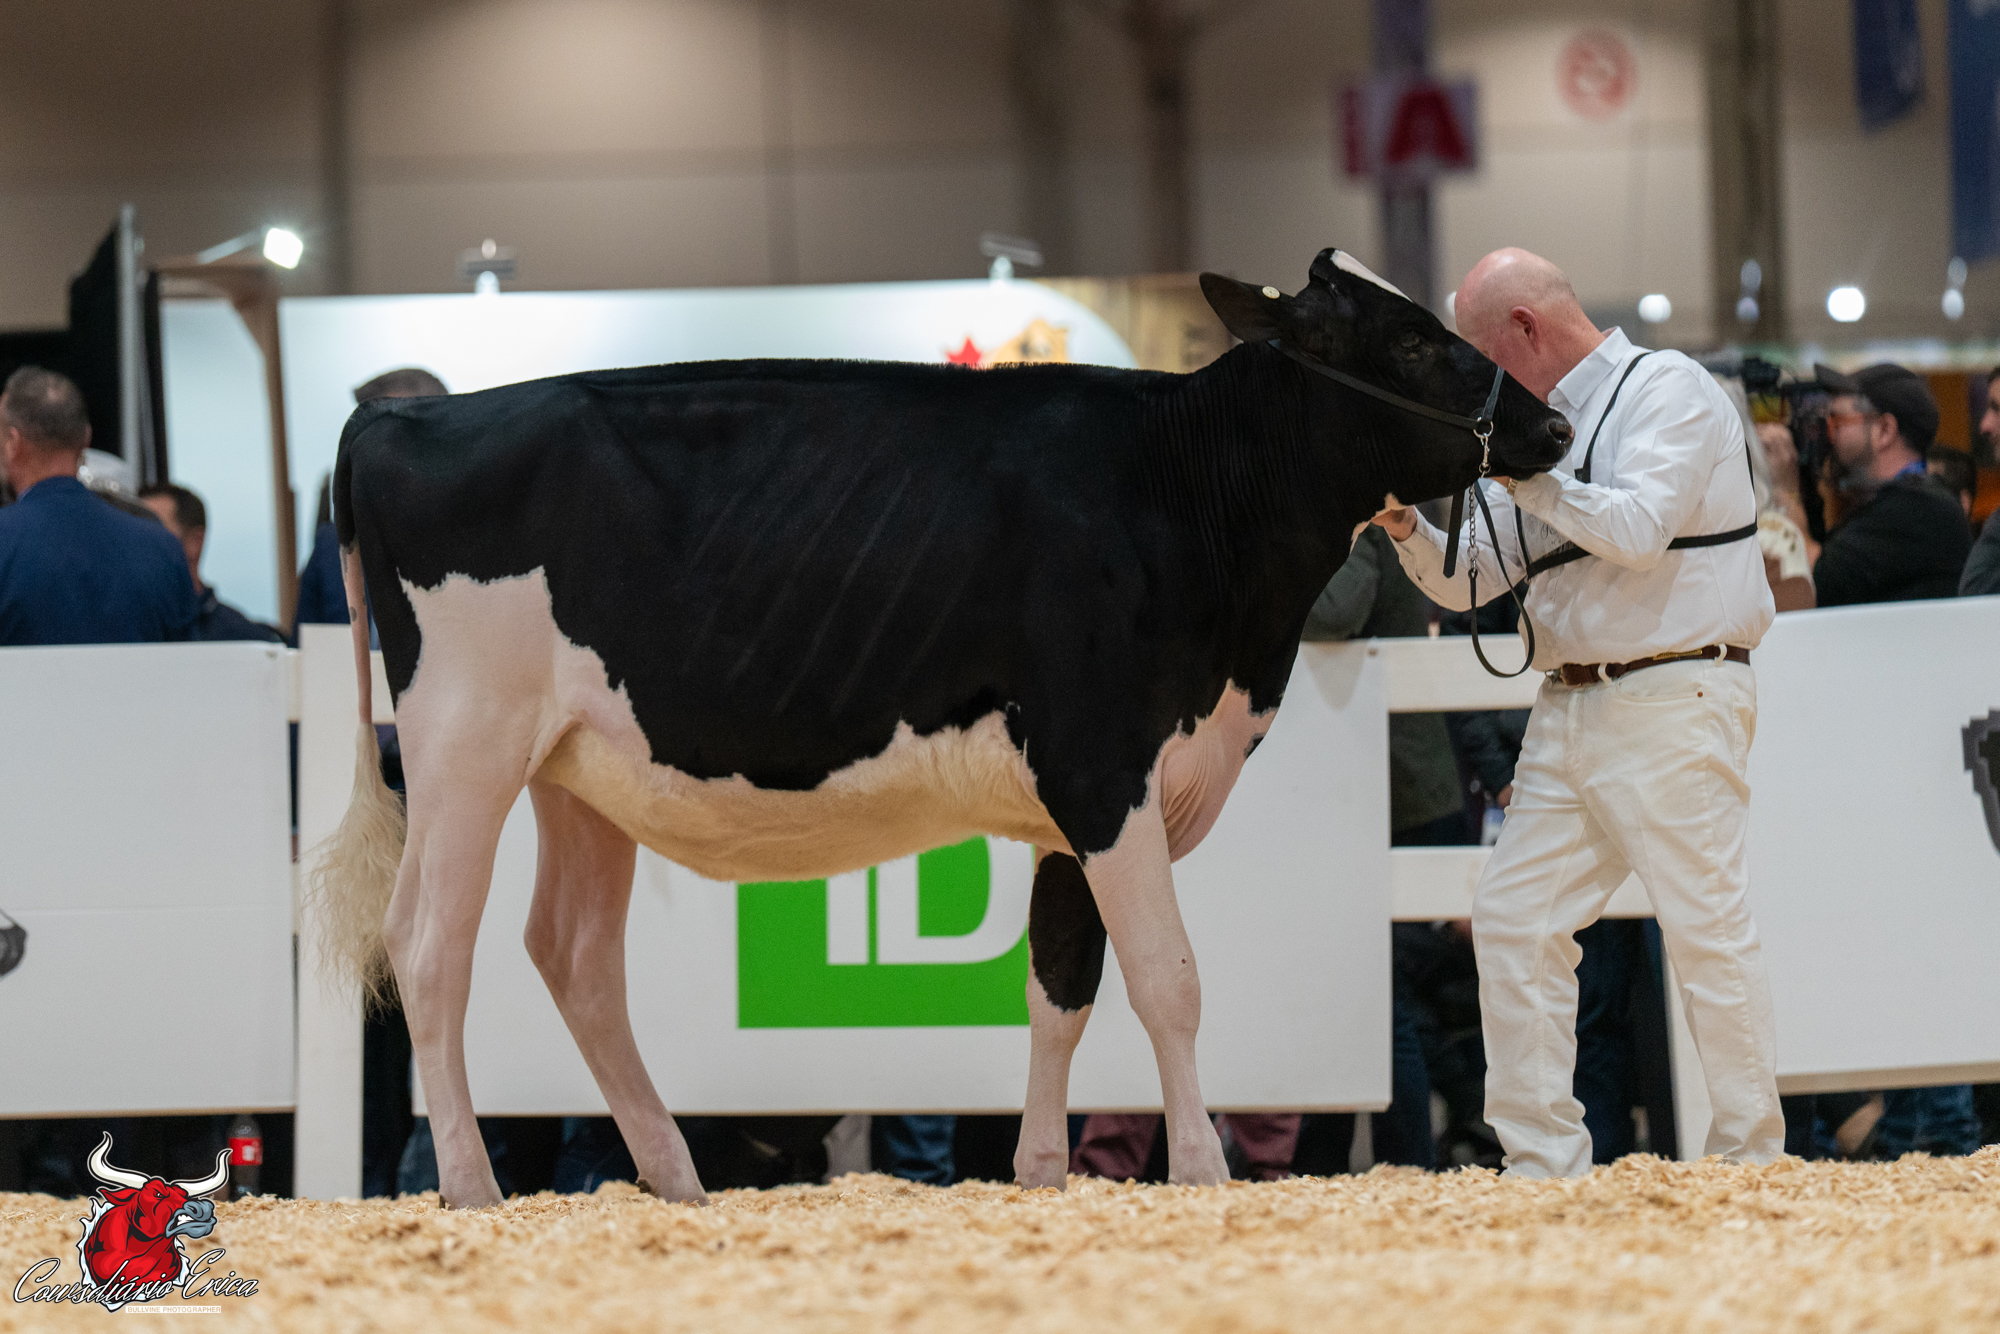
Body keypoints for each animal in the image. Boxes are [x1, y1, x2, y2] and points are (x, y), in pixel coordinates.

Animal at [310, 248, 1573, 1208]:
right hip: (463, 742)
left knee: (572, 953)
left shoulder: (1074, 807)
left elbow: (1059, 986)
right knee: (428, 942)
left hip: (579, 768)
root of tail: (400, 416)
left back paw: (674, 1178)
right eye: (1407, 342)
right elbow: (1166, 976)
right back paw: (473, 1188)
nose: (1553, 424)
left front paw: (1042, 1173)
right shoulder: (1100, 763)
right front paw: (1201, 1169)